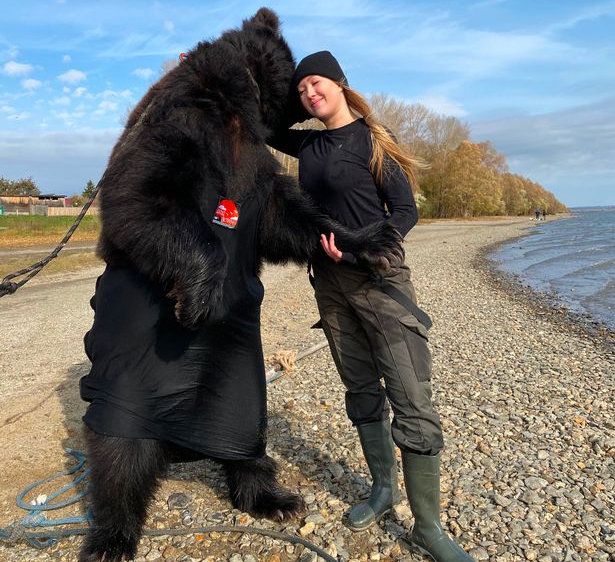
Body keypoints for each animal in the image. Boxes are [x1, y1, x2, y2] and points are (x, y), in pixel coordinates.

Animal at [78, 8, 403, 561]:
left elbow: (289, 218)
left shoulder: (256, 170)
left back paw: (273, 496)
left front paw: (371, 241)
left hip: (236, 357)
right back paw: (112, 535)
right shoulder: (180, 127)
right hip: (127, 354)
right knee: (120, 442)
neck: (235, 106)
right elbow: (142, 193)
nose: (312, 94)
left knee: (241, 418)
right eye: (299, 75)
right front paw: (196, 301)